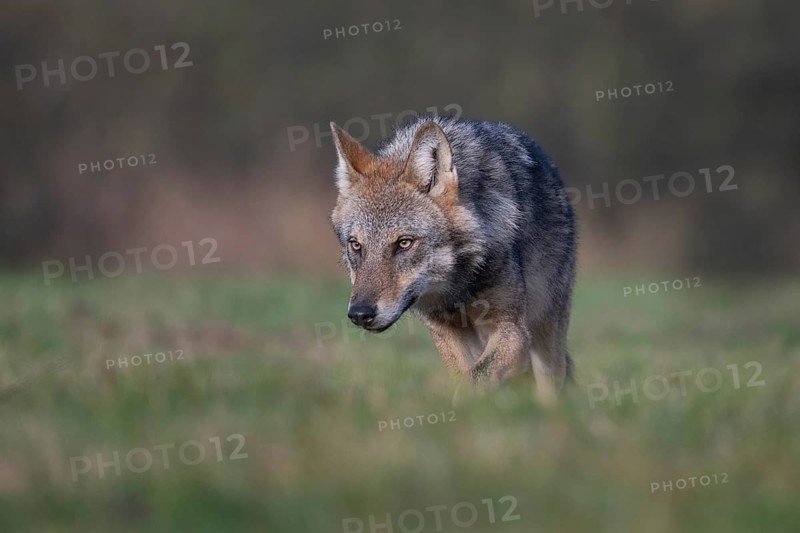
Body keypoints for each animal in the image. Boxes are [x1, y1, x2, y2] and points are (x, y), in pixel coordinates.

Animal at [329, 116, 577, 402]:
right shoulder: (446, 333)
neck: (457, 288)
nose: (360, 314)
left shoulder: (513, 329)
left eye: (404, 243)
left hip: (546, 335)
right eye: (356, 245)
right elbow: (466, 380)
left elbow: (478, 378)